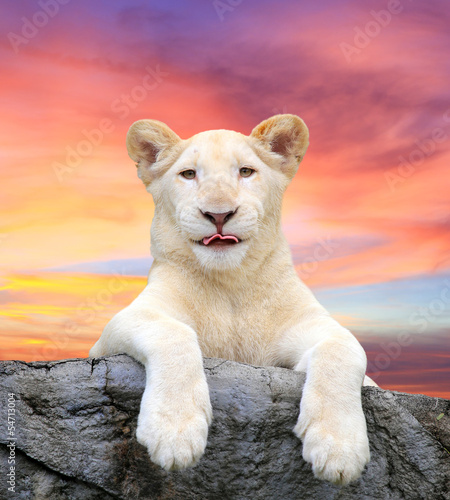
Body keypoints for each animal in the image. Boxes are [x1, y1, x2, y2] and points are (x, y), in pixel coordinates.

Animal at [89, 116, 374, 484]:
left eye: (246, 171)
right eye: (189, 174)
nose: (219, 214)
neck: (230, 284)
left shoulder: (310, 322)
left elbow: (345, 350)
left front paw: (339, 449)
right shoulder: (121, 326)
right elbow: (174, 335)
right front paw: (174, 433)